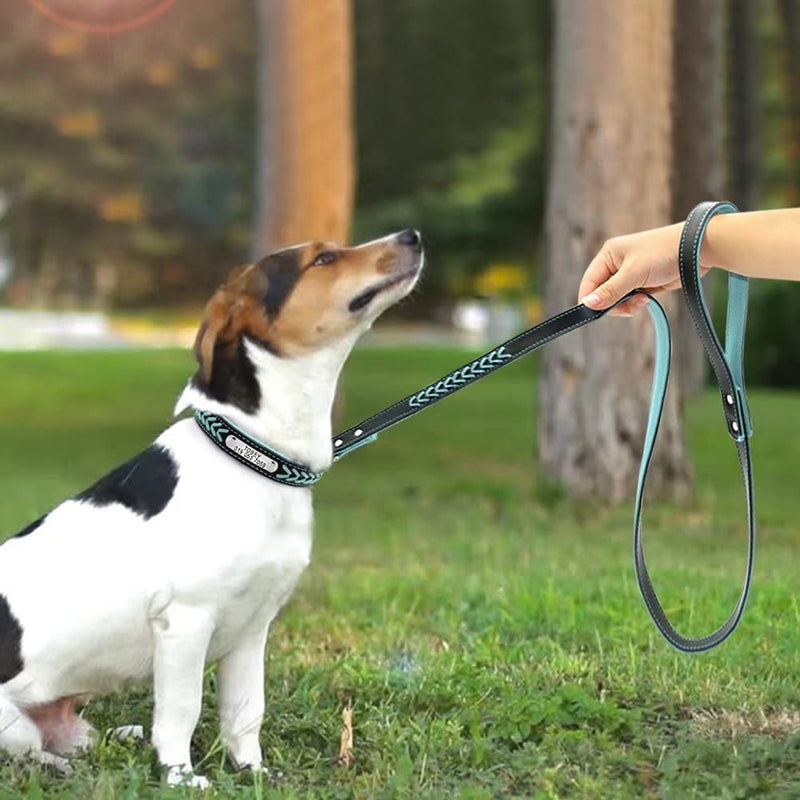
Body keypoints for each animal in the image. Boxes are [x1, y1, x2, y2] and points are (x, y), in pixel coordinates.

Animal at [0, 228, 424, 784]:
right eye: (324, 258)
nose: (412, 236)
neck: (251, 456)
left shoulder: (252, 628)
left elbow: (246, 712)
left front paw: (253, 772)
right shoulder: (186, 622)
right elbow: (183, 710)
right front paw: (180, 776)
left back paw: (121, 738)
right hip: (12, 724)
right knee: (32, 751)